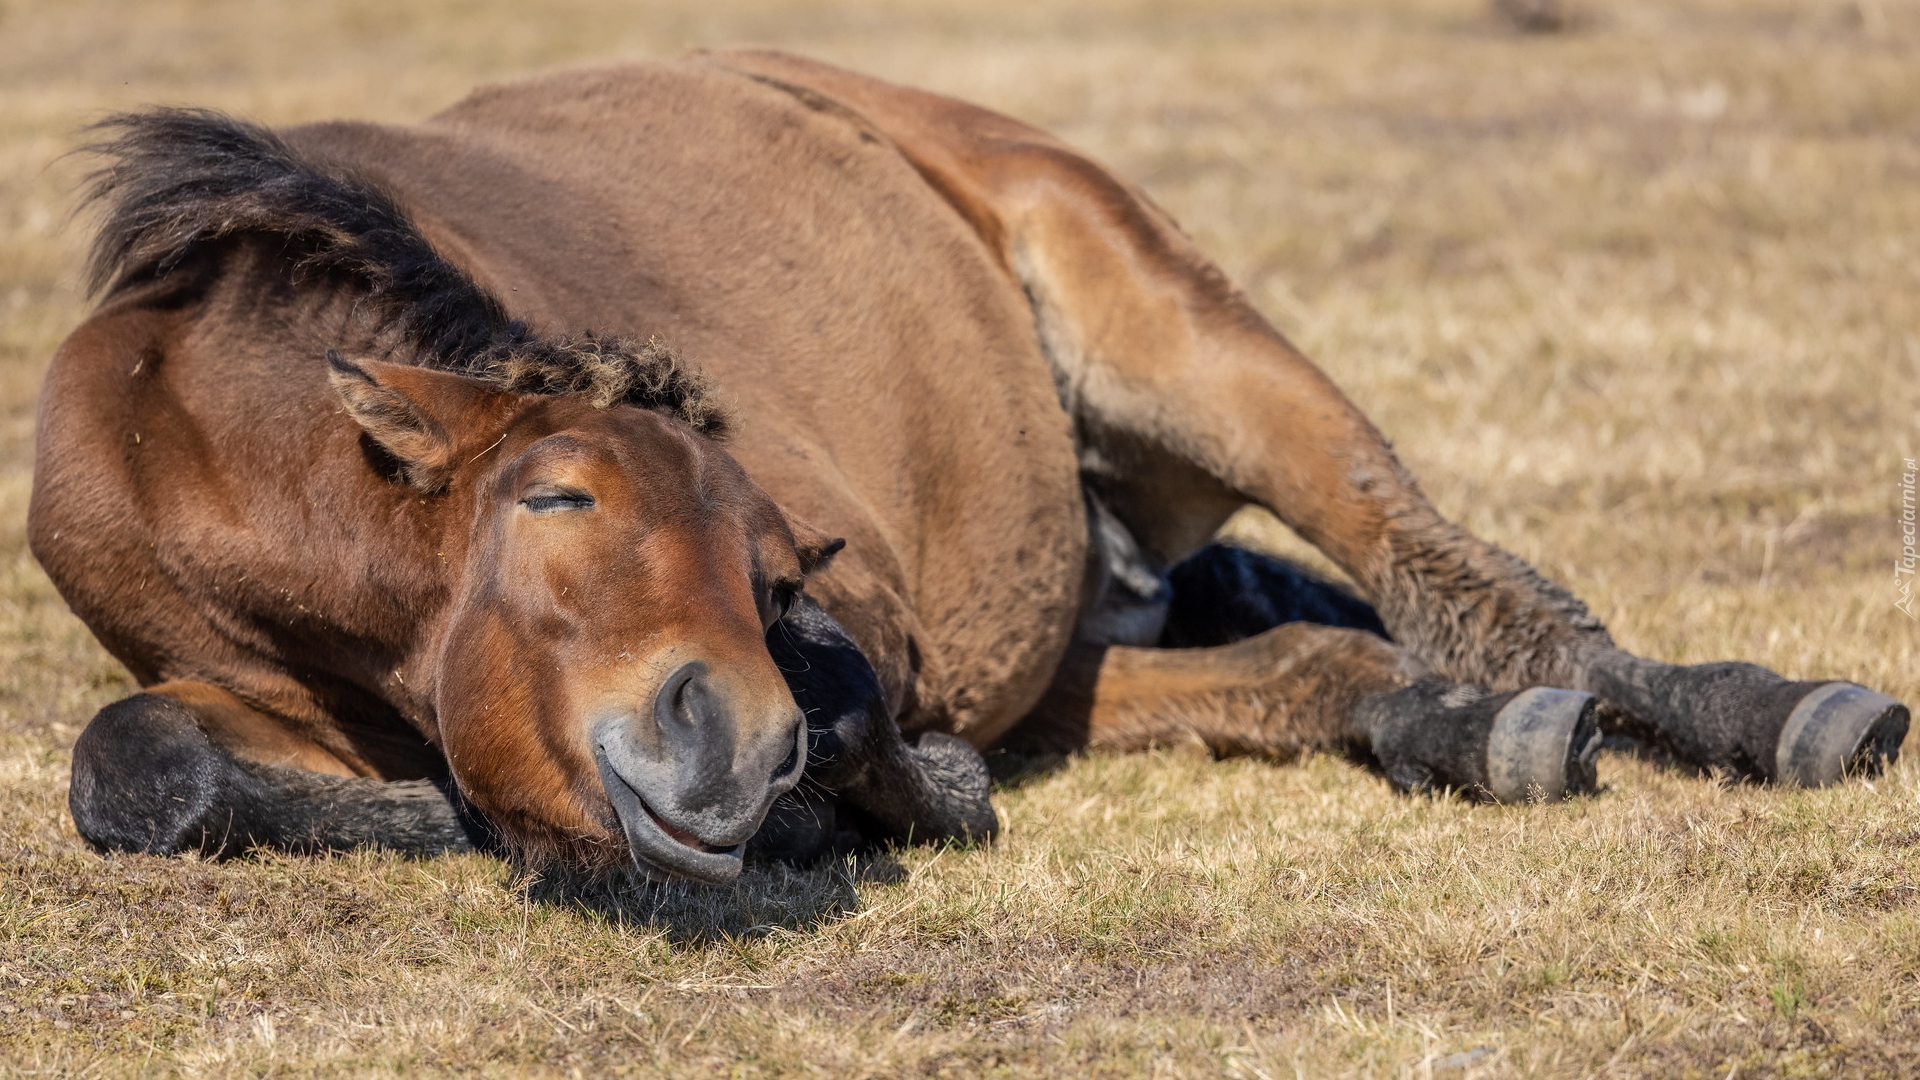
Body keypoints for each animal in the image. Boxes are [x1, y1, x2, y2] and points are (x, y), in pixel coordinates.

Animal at [30, 48, 1904, 883]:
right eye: (556, 499)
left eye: (775, 555)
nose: (729, 737)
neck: (177, 411)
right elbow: (136, 761)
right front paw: (413, 809)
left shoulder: (859, 614)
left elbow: (870, 720)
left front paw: (891, 792)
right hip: (1084, 624)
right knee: (1320, 658)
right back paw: (1454, 728)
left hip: (1179, 329)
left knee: (1482, 593)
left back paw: (1772, 714)